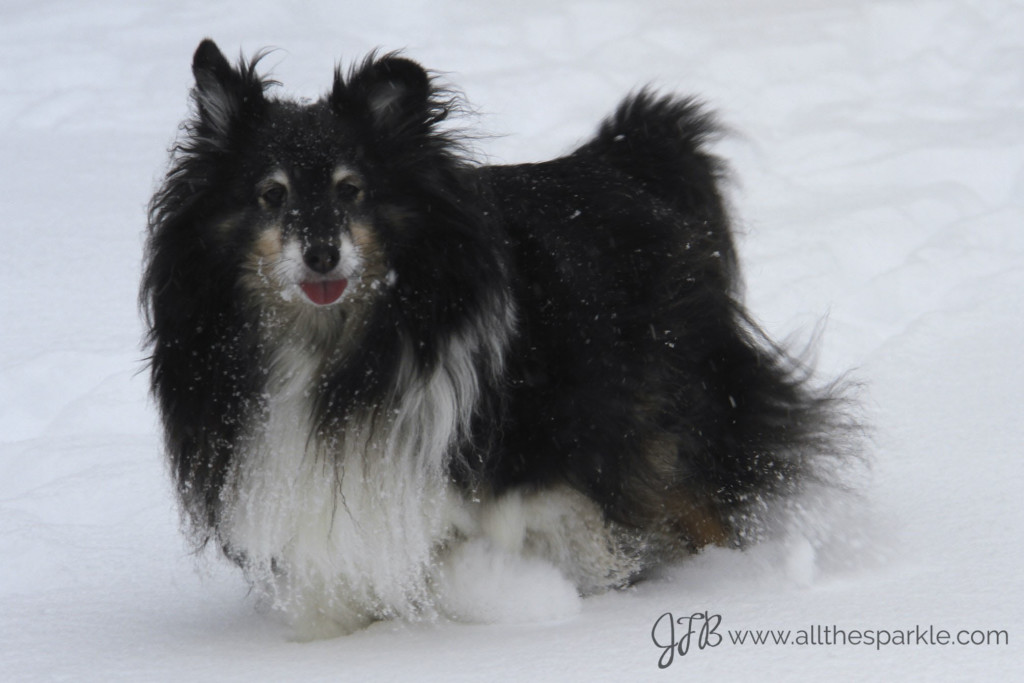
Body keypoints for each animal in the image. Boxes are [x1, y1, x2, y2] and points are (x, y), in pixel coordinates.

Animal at [140, 41, 860, 643]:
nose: (322, 254)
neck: (337, 350)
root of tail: (612, 159)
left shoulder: (524, 462)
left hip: (664, 421)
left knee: (705, 501)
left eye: (352, 189)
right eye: (270, 194)